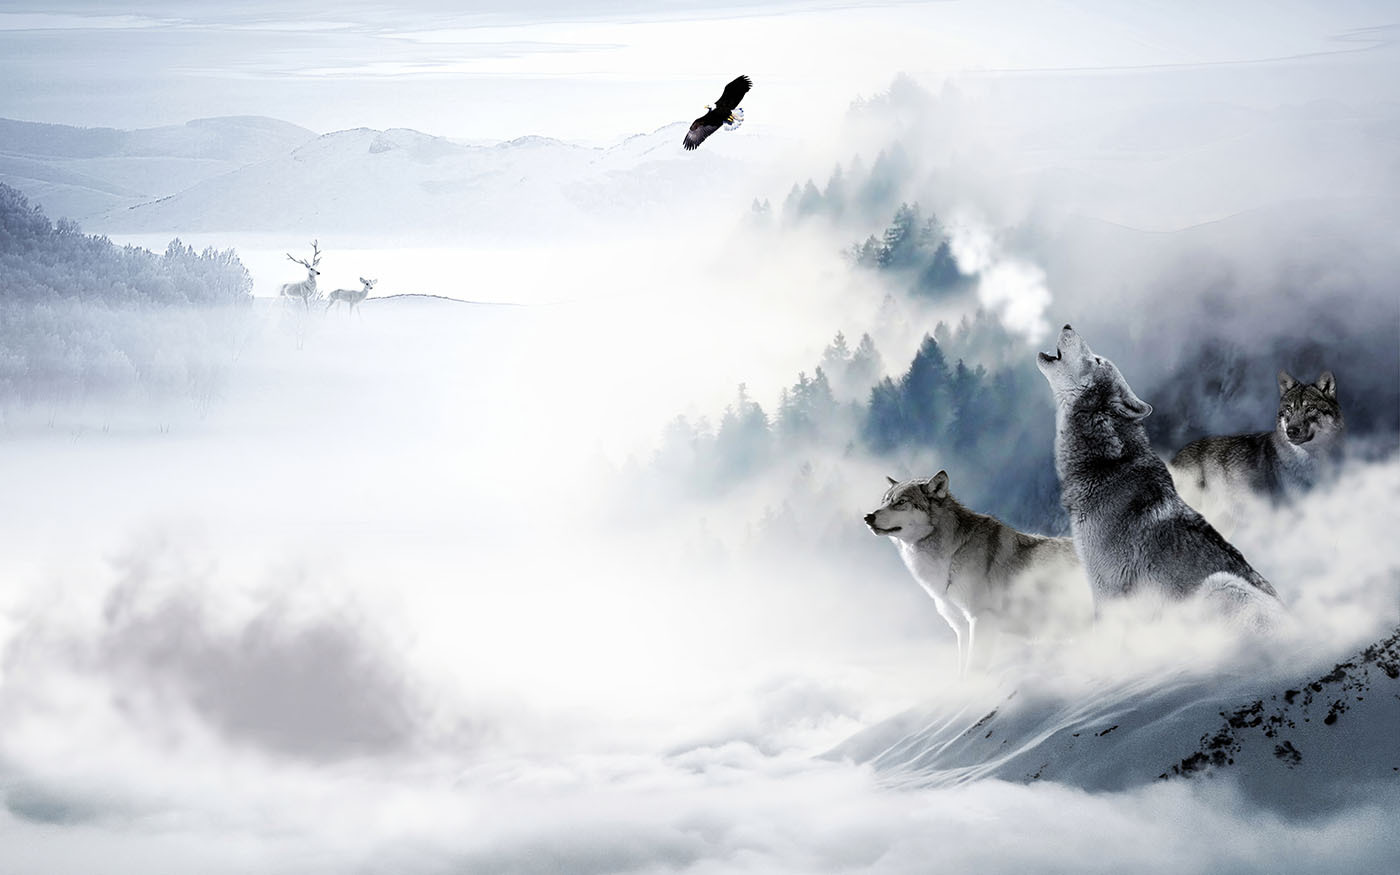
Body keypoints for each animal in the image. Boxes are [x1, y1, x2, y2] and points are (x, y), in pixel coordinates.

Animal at [864, 470, 1091, 676]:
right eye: (884, 502)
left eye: (900, 502)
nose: (868, 517)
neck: (952, 554)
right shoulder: (962, 629)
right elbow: (962, 672)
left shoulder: (981, 619)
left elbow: (974, 670)